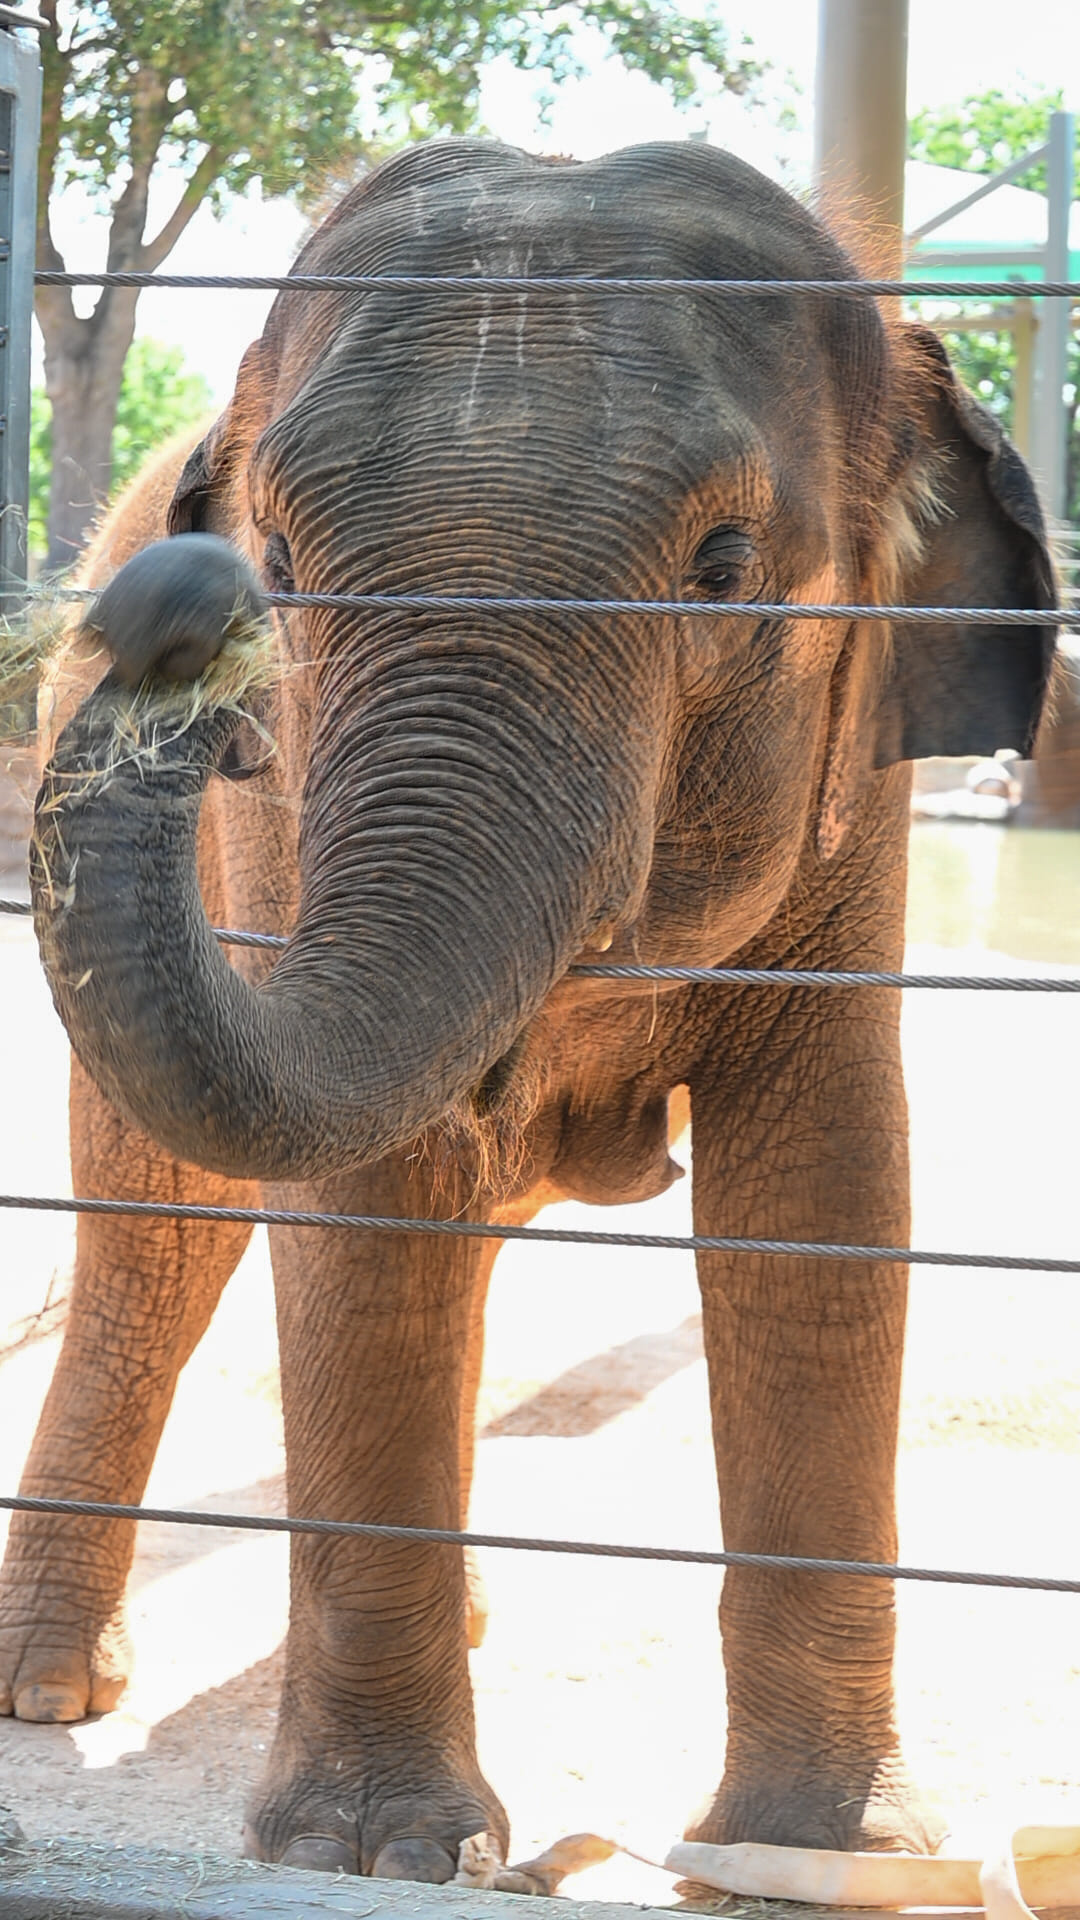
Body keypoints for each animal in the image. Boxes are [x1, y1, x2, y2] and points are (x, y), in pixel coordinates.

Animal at [0, 139, 1055, 1879]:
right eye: (281, 566)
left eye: (723, 570)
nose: (184, 600)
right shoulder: (274, 840)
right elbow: (361, 1207)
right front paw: (383, 1855)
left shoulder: (866, 801)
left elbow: (824, 1192)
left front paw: (827, 1862)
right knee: (158, 1238)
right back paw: (45, 1685)